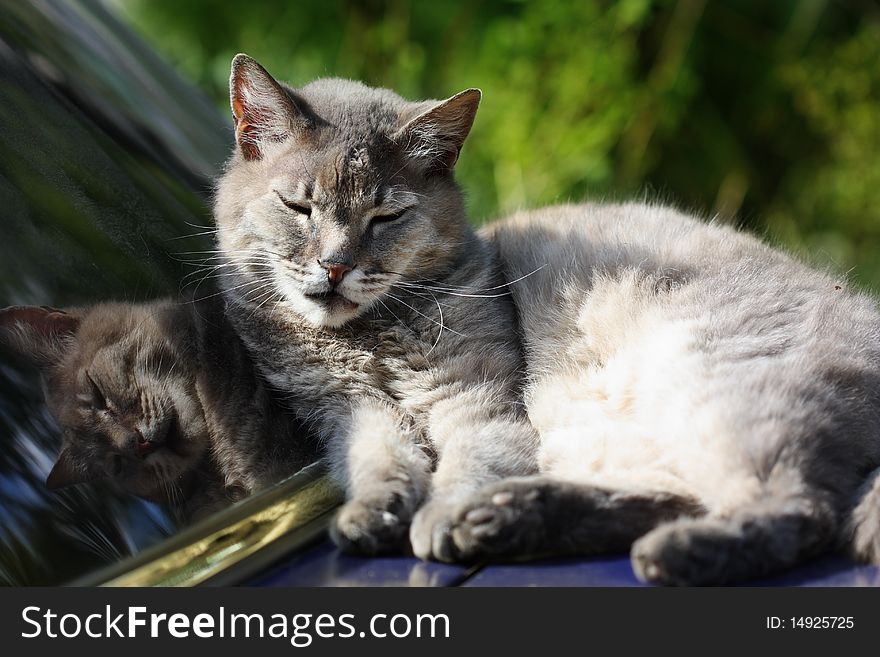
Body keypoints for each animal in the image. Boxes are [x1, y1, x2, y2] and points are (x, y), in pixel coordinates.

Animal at [213, 57, 536, 560]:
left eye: (386, 216)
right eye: (298, 206)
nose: (335, 265)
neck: (370, 334)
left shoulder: (474, 390)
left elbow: (479, 452)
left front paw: (448, 514)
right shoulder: (347, 404)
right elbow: (380, 454)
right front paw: (374, 508)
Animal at [446, 205, 880, 584]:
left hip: (710, 389)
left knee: (804, 510)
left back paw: (673, 551)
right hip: (588, 437)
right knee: (674, 499)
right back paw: (505, 514)